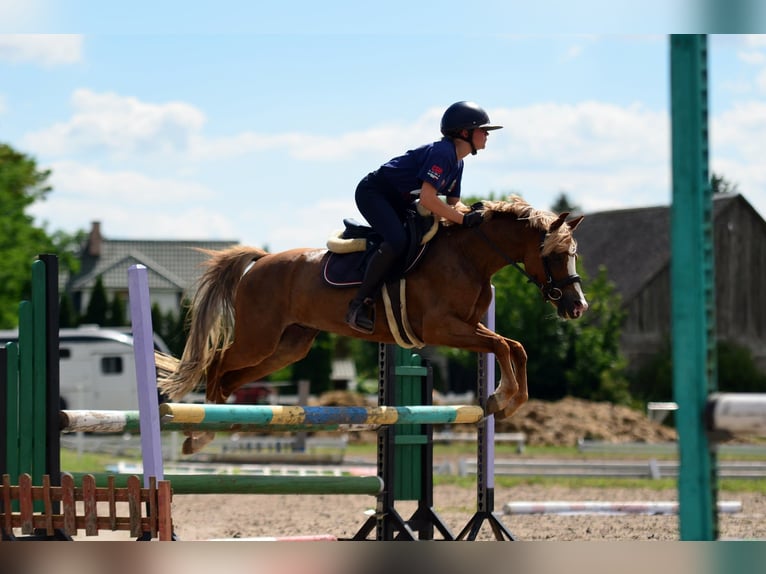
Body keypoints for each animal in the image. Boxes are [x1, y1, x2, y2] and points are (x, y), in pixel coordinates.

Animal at [156, 195, 588, 454]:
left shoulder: (467, 326)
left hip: (288, 346)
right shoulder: (443, 328)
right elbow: (504, 345)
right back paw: (200, 432)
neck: (469, 256)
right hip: (258, 337)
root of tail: (261, 260)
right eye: (555, 255)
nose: (578, 306)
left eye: (574, 254)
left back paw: (213, 423)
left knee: (230, 376)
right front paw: (503, 398)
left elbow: (515, 346)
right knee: (216, 363)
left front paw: (504, 399)